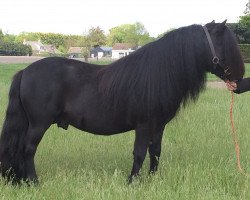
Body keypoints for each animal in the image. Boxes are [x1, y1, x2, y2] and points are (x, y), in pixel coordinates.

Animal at [0, 21, 244, 184]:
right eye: (227, 45)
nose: (240, 77)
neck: (157, 73)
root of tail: (25, 71)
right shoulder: (143, 126)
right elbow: (139, 153)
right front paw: (132, 181)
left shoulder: (158, 126)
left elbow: (155, 151)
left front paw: (152, 179)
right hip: (38, 124)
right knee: (28, 149)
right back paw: (33, 182)